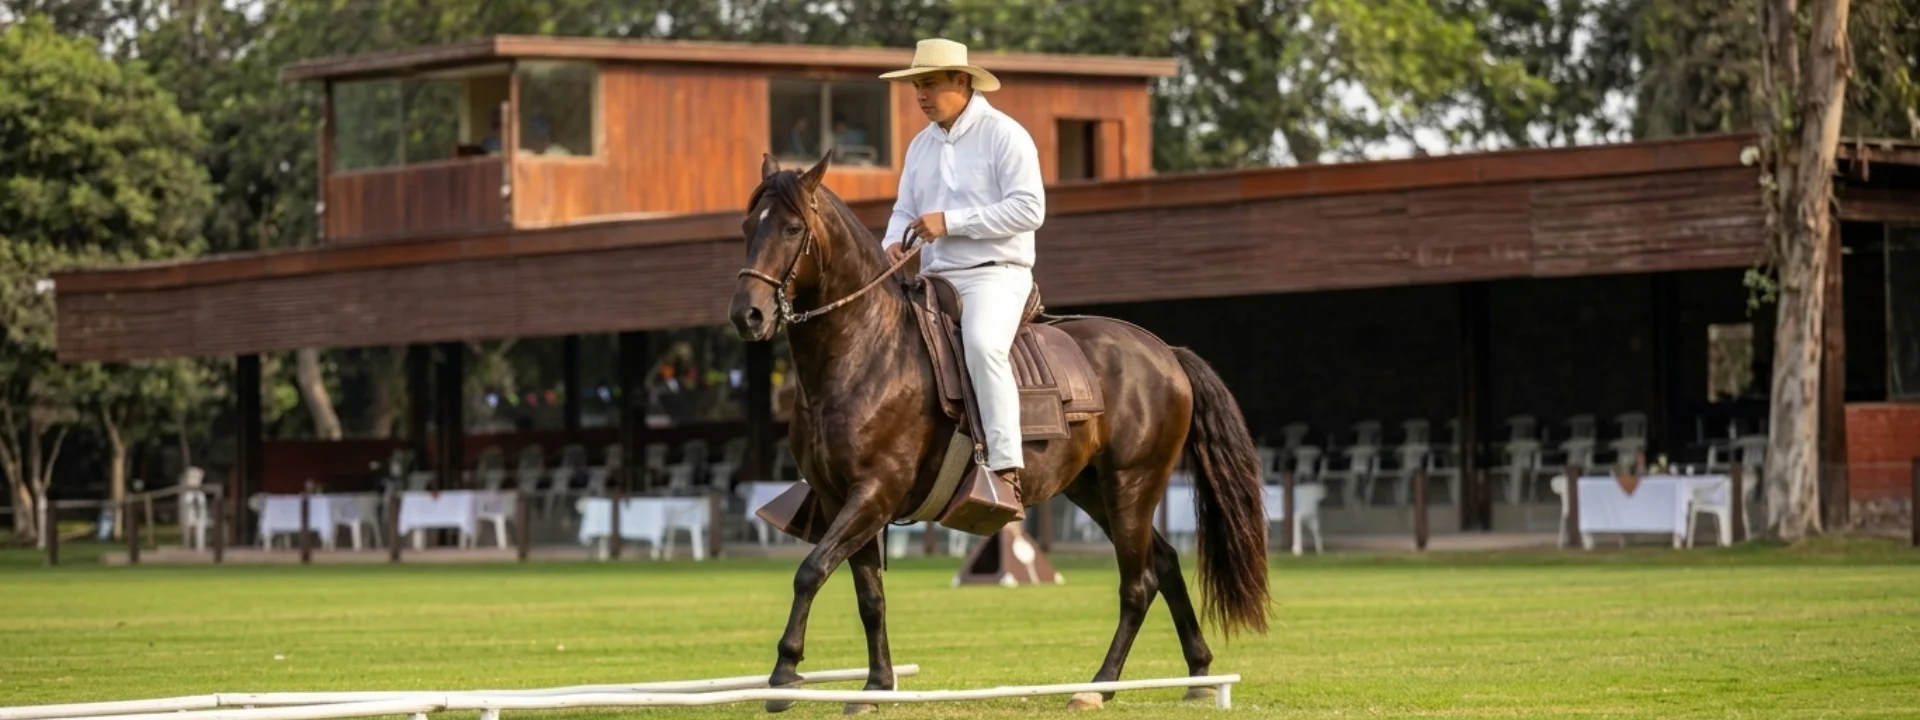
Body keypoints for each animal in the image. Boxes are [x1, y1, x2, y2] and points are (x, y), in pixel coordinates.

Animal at [727, 151, 1271, 713]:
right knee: (1162, 564)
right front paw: (875, 686)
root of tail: (1166, 353)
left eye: (792, 228)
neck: (865, 351)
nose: (748, 314)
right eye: (747, 227)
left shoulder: (874, 493)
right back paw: (1199, 675)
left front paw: (785, 675)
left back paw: (1097, 687)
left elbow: (810, 571)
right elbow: (868, 593)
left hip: (1132, 486)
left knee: (1137, 583)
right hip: (1093, 491)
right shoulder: (843, 501)